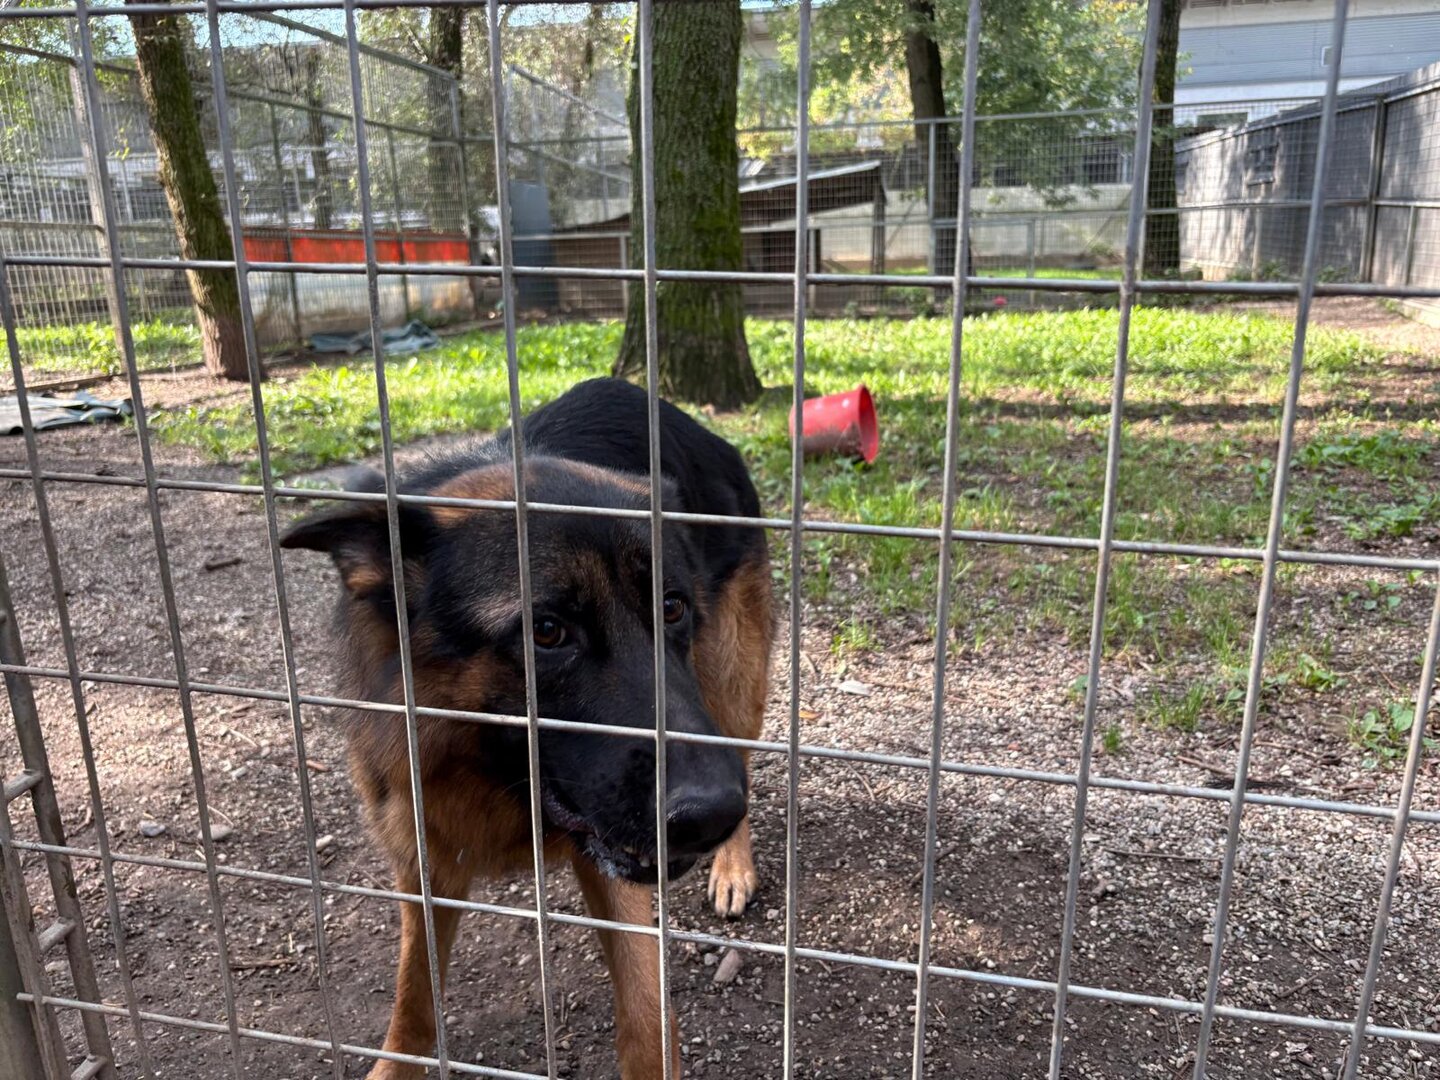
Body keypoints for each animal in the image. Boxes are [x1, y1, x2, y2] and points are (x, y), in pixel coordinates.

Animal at [281, 377, 774, 1079]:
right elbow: (414, 1001)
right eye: (547, 631)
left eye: (673, 607)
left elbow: (646, 1018)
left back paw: (732, 866)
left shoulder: (614, 865)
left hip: (731, 676)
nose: (711, 814)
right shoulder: (423, 857)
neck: (491, 780)